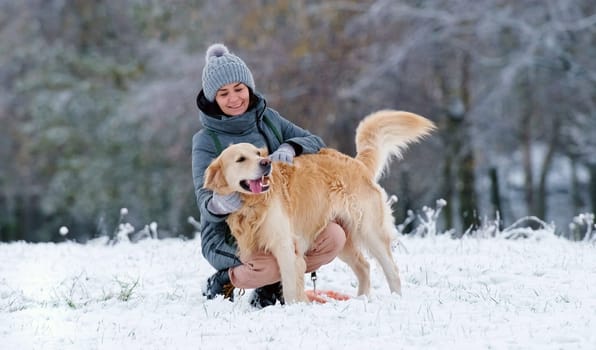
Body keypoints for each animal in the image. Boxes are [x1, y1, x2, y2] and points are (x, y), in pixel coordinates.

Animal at [203, 110, 436, 304]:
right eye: (241, 159)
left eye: (259, 154)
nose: (266, 164)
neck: (252, 205)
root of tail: (357, 163)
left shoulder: (284, 245)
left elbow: (290, 285)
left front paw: (296, 308)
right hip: (343, 238)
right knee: (364, 266)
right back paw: (361, 299)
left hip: (370, 231)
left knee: (392, 270)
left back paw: (396, 300)